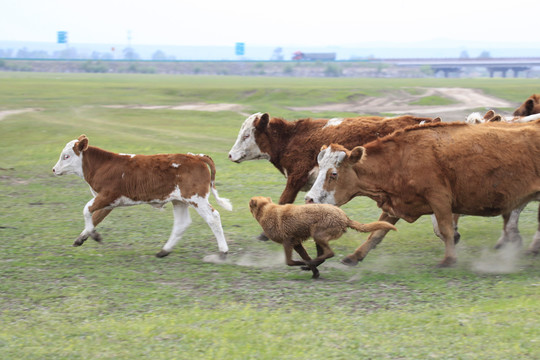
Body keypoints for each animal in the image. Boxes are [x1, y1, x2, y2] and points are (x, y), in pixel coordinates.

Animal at [51, 134, 234, 256]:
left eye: (66, 156)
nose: (54, 169)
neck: (102, 165)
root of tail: (196, 156)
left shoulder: (107, 196)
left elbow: (86, 209)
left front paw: (93, 235)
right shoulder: (109, 203)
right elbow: (94, 217)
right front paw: (82, 238)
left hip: (196, 198)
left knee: (213, 217)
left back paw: (223, 250)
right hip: (179, 201)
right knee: (182, 223)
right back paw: (164, 251)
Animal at [250, 197, 396, 278]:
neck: (267, 210)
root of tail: (345, 217)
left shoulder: (288, 242)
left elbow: (290, 262)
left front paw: (305, 264)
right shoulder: (296, 243)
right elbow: (304, 257)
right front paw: (314, 272)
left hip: (318, 234)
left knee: (329, 253)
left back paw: (310, 264)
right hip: (317, 238)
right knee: (323, 256)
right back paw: (310, 265)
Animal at [304, 122, 540, 266]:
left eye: (333, 174)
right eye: (319, 168)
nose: (309, 199)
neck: (401, 160)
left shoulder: (439, 198)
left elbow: (446, 230)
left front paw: (449, 260)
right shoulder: (396, 202)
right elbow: (377, 232)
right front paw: (355, 256)